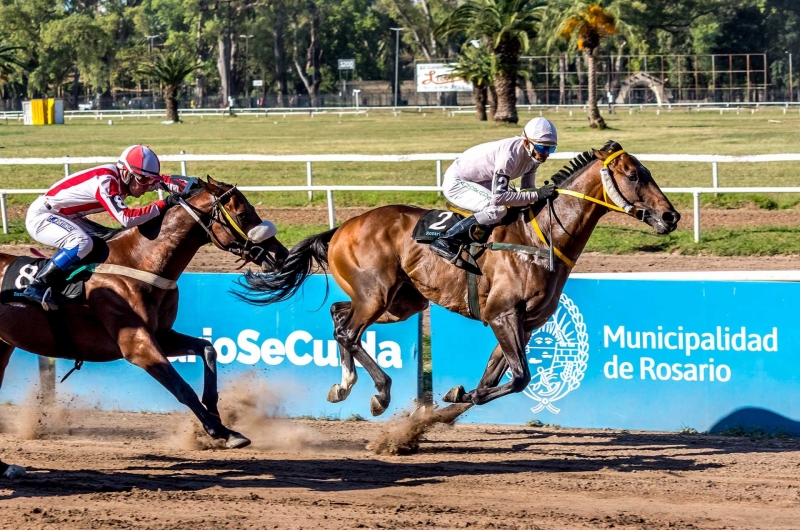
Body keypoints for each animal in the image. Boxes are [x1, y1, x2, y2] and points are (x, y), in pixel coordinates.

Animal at [0, 176, 288, 450]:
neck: (137, 263)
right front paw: (222, 432)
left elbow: (207, 349)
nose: (281, 254)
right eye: (243, 215)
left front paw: (219, 418)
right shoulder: (136, 344)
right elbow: (182, 388)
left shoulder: (161, 335)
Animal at [241, 140, 680, 416]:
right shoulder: (503, 314)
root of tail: (342, 228)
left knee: (338, 316)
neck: (539, 238)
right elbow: (520, 377)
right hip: (377, 295)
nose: (671, 215)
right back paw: (379, 393)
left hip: (401, 301)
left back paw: (343, 385)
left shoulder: (524, 324)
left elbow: (497, 377)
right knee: (349, 331)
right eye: (635, 175)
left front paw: (460, 393)